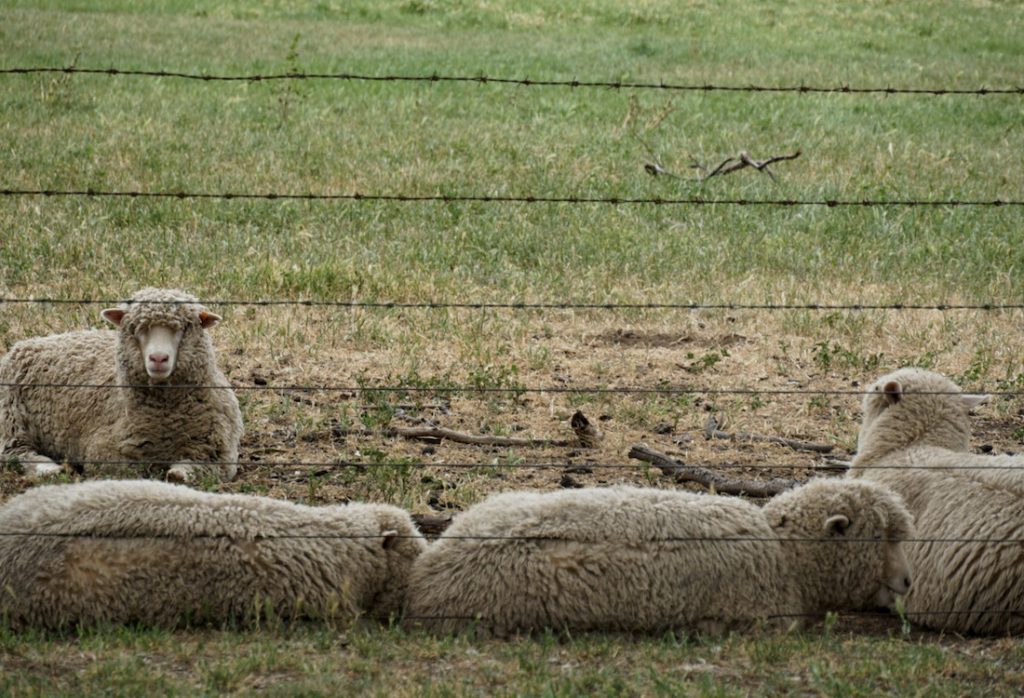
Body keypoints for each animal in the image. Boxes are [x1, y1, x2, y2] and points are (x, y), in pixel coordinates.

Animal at [0, 284, 243, 481]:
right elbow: (128, 470)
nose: (158, 358)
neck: (165, 419)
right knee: (14, 450)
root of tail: (23, 345)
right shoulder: (104, 452)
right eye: (137, 328)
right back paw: (48, 468)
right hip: (10, 415)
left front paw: (177, 474)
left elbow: (191, 469)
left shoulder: (218, 453)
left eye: (183, 328)